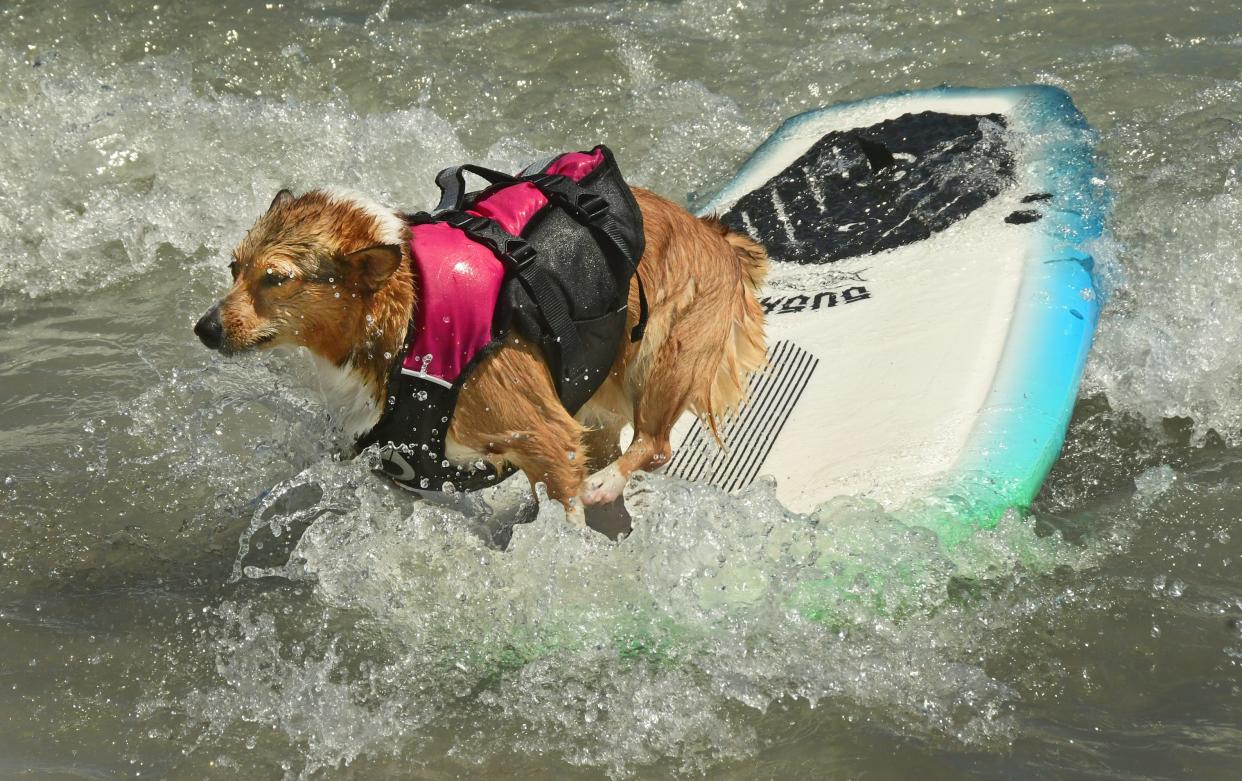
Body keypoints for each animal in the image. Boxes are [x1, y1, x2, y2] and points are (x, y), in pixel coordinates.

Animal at [193, 175, 765, 523]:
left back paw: (605, 484)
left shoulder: (546, 435)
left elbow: (564, 506)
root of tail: (720, 236)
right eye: (234, 268)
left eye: (276, 278)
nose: (204, 329)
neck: (410, 314)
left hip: (662, 358)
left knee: (655, 444)